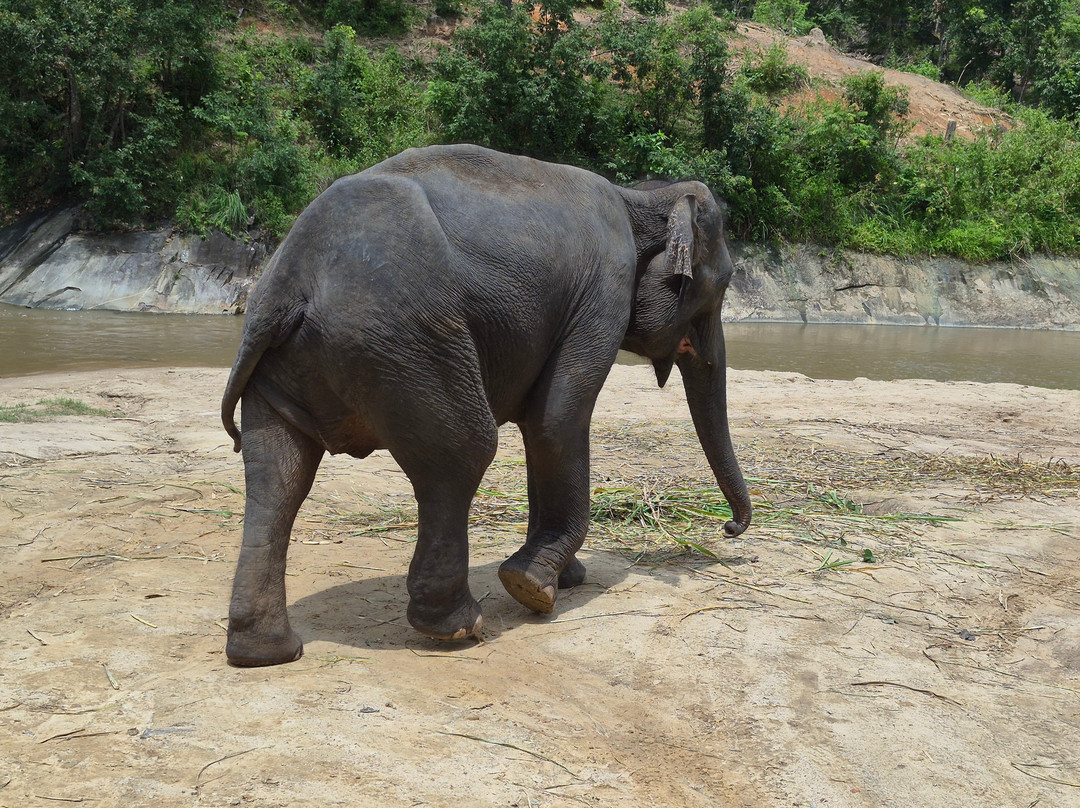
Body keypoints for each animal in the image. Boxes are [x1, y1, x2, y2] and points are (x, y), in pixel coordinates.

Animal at [220, 144, 752, 667]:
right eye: (722, 286)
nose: (728, 528)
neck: (640, 197)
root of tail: (289, 283)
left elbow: (539, 427)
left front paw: (564, 579)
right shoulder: (603, 292)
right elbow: (557, 419)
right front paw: (532, 586)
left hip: (290, 364)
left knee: (277, 475)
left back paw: (266, 652)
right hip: (405, 342)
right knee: (463, 453)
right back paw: (458, 626)